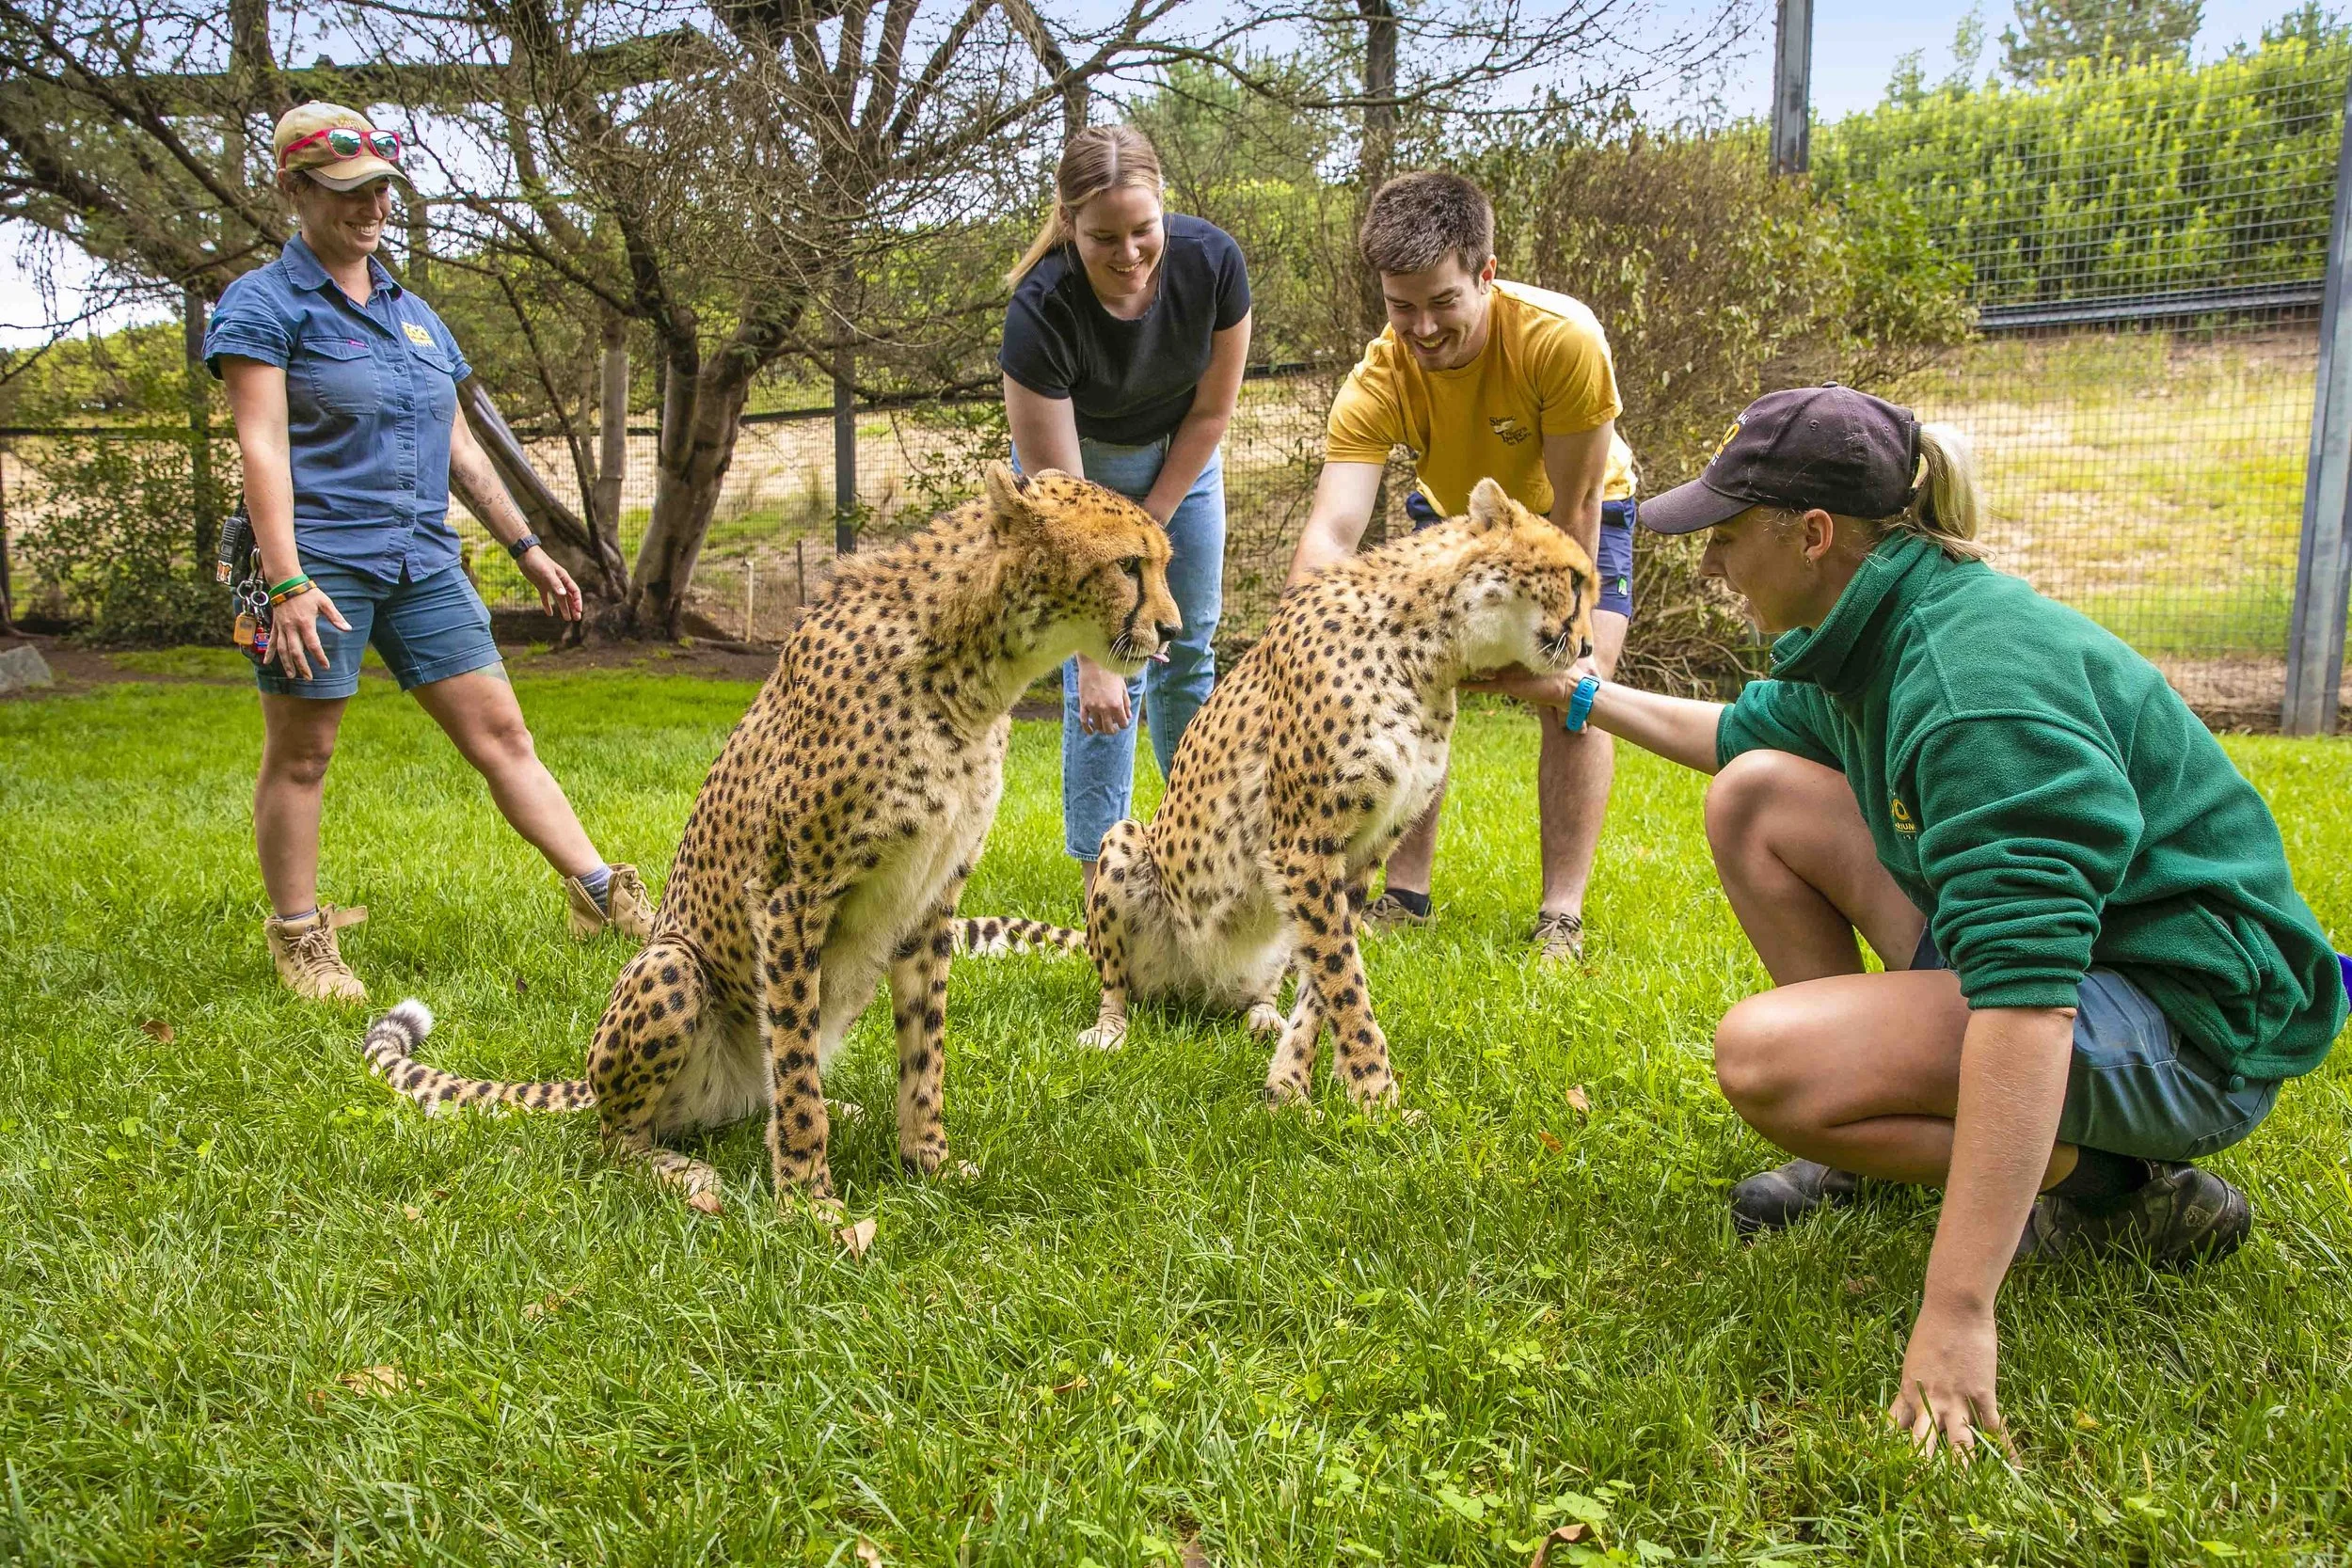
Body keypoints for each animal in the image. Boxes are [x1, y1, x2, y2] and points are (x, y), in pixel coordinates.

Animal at [354, 463, 1180, 1211]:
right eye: (1128, 564)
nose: (1174, 628)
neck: (971, 669)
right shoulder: (791, 893)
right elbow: (793, 1059)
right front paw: (810, 1204)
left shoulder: (930, 901)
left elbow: (924, 1054)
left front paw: (929, 1163)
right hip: (670, 964)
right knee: (624, 1134)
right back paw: (681, 1171)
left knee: (763, 1094)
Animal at [957, 478, 1596, 1110]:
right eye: (1574, 579)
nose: (1589, 648)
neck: (1431, 649)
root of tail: (1196, 988)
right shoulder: (1305, 842)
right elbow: (1344, 978)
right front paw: (1377, 1096)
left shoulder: (1358, 853)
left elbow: (1325, 978)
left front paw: (1290, 1086)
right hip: (1125, 847)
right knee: (1116, 984)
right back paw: (1110, 1029)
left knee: (1265, 985)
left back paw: (1263, 1014)